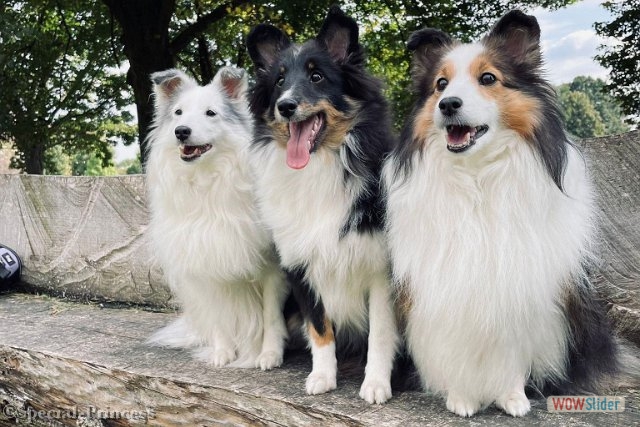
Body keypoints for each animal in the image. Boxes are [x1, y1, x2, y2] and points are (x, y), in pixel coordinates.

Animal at [146, 67, 288, 372]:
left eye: (211, 113)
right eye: (178, 112)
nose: (181, 131)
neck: (208, 182)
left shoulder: (272, 268)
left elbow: (270, 315)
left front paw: (269, 355)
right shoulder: (208, 260)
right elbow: (219, 316)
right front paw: (222, 352)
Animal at [382, 10, 616, 418]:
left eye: (488, 78)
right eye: (441, 84)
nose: (448, 104)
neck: (477, 177)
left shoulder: (515, 287)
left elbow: (510, 352)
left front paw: (513, 398)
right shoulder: (445, 288)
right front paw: (461, 398)